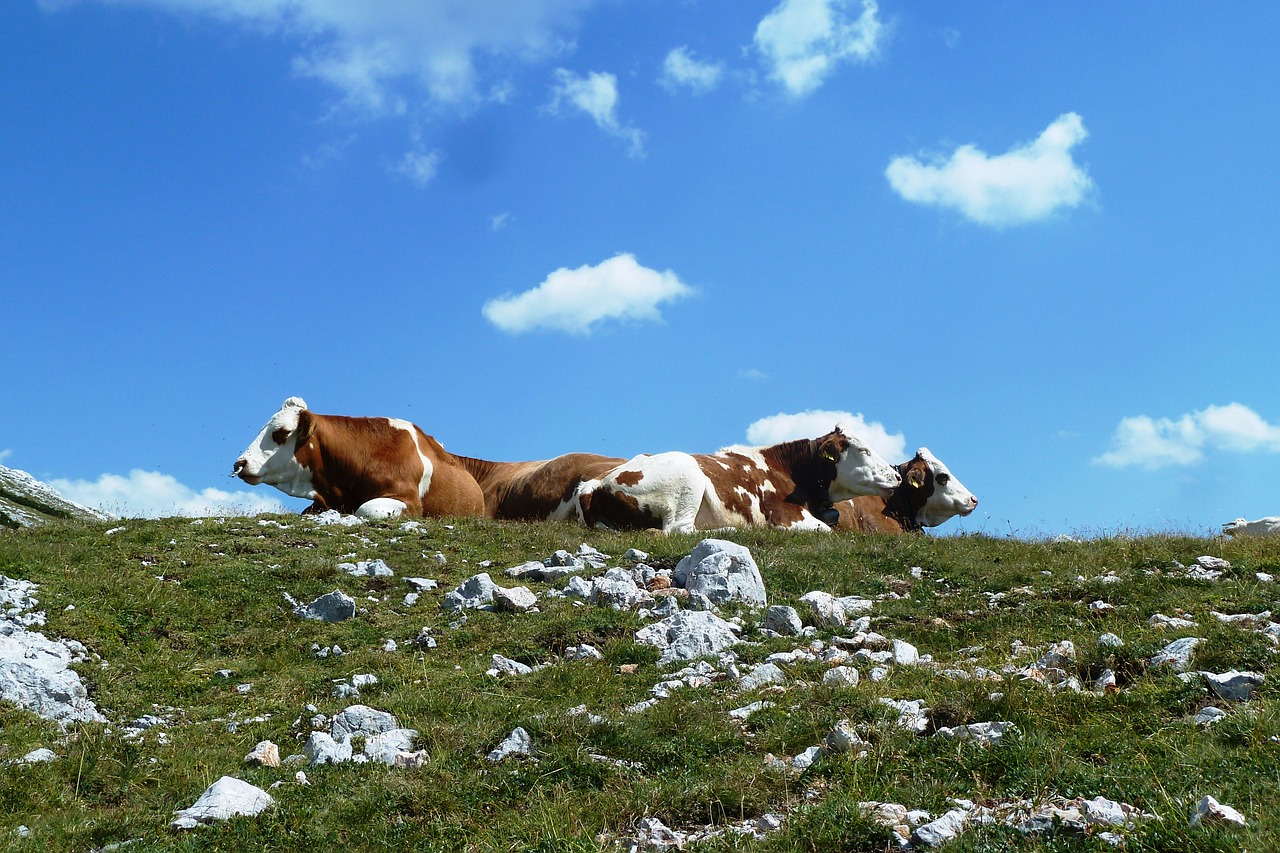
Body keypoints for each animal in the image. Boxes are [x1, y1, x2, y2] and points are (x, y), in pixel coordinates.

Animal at [581, 425, 901, 532]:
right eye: (863, 449)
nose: (897, 475)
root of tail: (596, 482)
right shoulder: (786, 515)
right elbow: (826, 530)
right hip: (688, 480)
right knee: (679, 529)